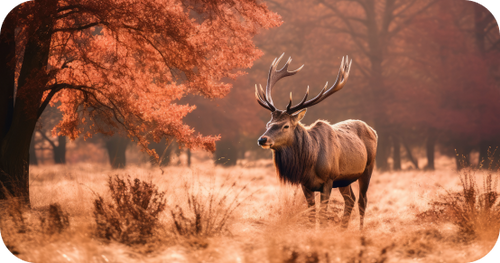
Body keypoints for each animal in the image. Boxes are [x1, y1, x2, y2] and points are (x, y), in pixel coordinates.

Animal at [256, 53, 376, 229]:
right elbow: (311, 216)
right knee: (350, 200)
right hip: (344, 180)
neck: (310, 162)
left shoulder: (328, 180)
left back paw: (360, 231)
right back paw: (343, 229)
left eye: (285, 126)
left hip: (368, 168)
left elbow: (323, 216)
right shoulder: (305, 184)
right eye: (268, 124)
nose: (262, 139)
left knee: (362, 200)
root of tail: (373, 130)